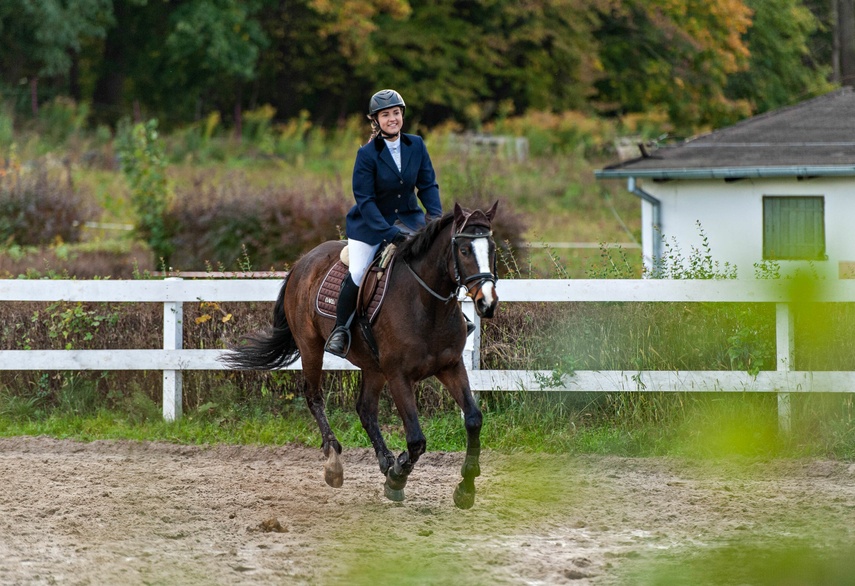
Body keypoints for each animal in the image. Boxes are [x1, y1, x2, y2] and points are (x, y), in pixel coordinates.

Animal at [221, 201, 502, 506]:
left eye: (492, 248)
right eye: (463, 250)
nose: (487, 303)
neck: (427, 305)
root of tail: (303, 261)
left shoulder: (450, 366)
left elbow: (473, 419)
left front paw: (465, 487)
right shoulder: (398, 375)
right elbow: (416, 440)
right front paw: (398, 476)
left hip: (372, 365)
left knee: (365, 409)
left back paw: (385, 460)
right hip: (311, 346)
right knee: (314, 397)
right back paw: (335, 462)